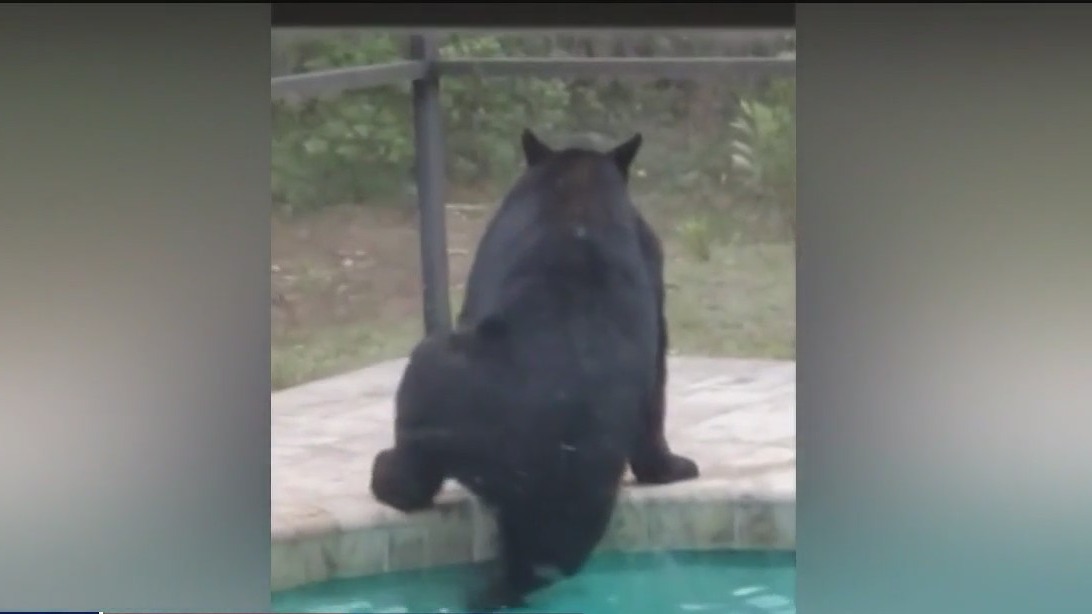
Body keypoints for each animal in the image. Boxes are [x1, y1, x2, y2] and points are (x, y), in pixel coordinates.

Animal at [370, 129, 700, 611]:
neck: (576, 187)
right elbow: (655, 390)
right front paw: (671, 467)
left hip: (436, 386)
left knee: (417, 473)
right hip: (577, 486)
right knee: (550, 554)